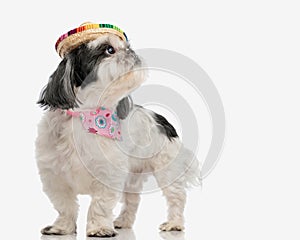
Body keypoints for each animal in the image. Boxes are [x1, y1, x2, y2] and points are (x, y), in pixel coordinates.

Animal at [36, 23, 202, 237]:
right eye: (109, 50)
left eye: (127, 46)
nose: (130, 51)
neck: (86, 115)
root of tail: (163, 121)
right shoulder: (55, 177)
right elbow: (65, 206)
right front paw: (62, 227)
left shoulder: (107, 174)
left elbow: (99, 205)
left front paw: (99, 228)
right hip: (132, 177)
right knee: (132, 200)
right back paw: (123, 222)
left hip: (167, 169)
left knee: (176, 197)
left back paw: (174, 223)